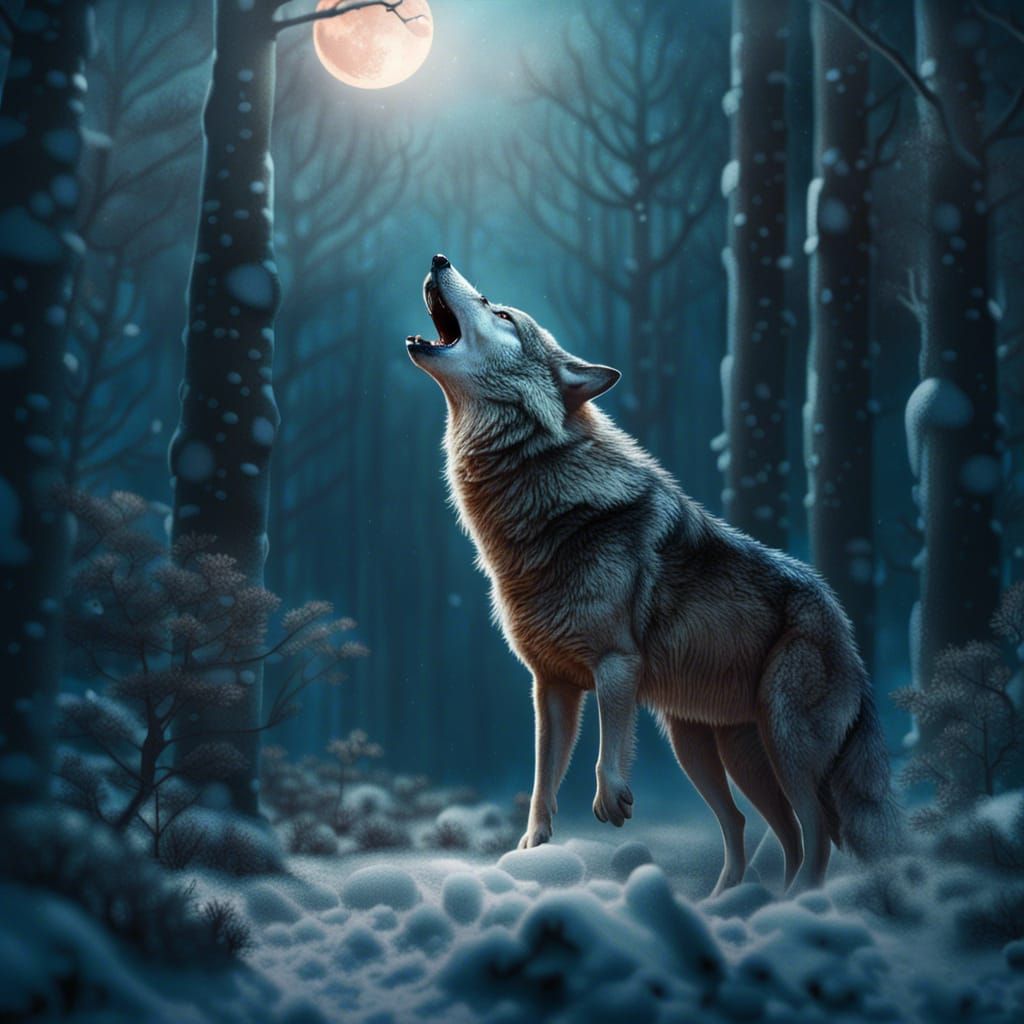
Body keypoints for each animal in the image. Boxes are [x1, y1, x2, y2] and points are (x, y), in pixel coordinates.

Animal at [407, 254, 899, 892]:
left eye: (501, 312)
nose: (439, 258)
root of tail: (849, 635)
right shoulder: (552, 685)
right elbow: (543, 781)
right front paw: (532, 849)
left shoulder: (616, 663)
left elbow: (606, 749)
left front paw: (611, 803)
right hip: (708, 748)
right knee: (760, 829)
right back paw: (734, 902)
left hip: (783, 743)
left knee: (815, 835)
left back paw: (796, 903)